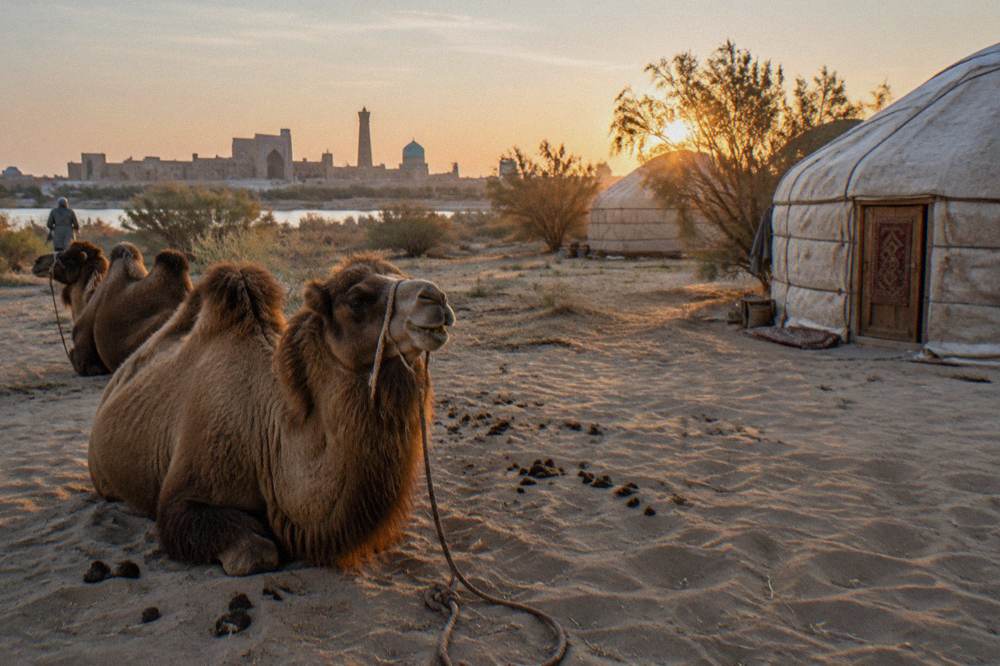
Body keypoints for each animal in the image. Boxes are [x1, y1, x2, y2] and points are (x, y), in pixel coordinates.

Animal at [88, 253, 455, 575]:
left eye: (398, 274)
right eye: (357, 299)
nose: (436, 297)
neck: (266, 434)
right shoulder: (184, 497)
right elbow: (256, 552)